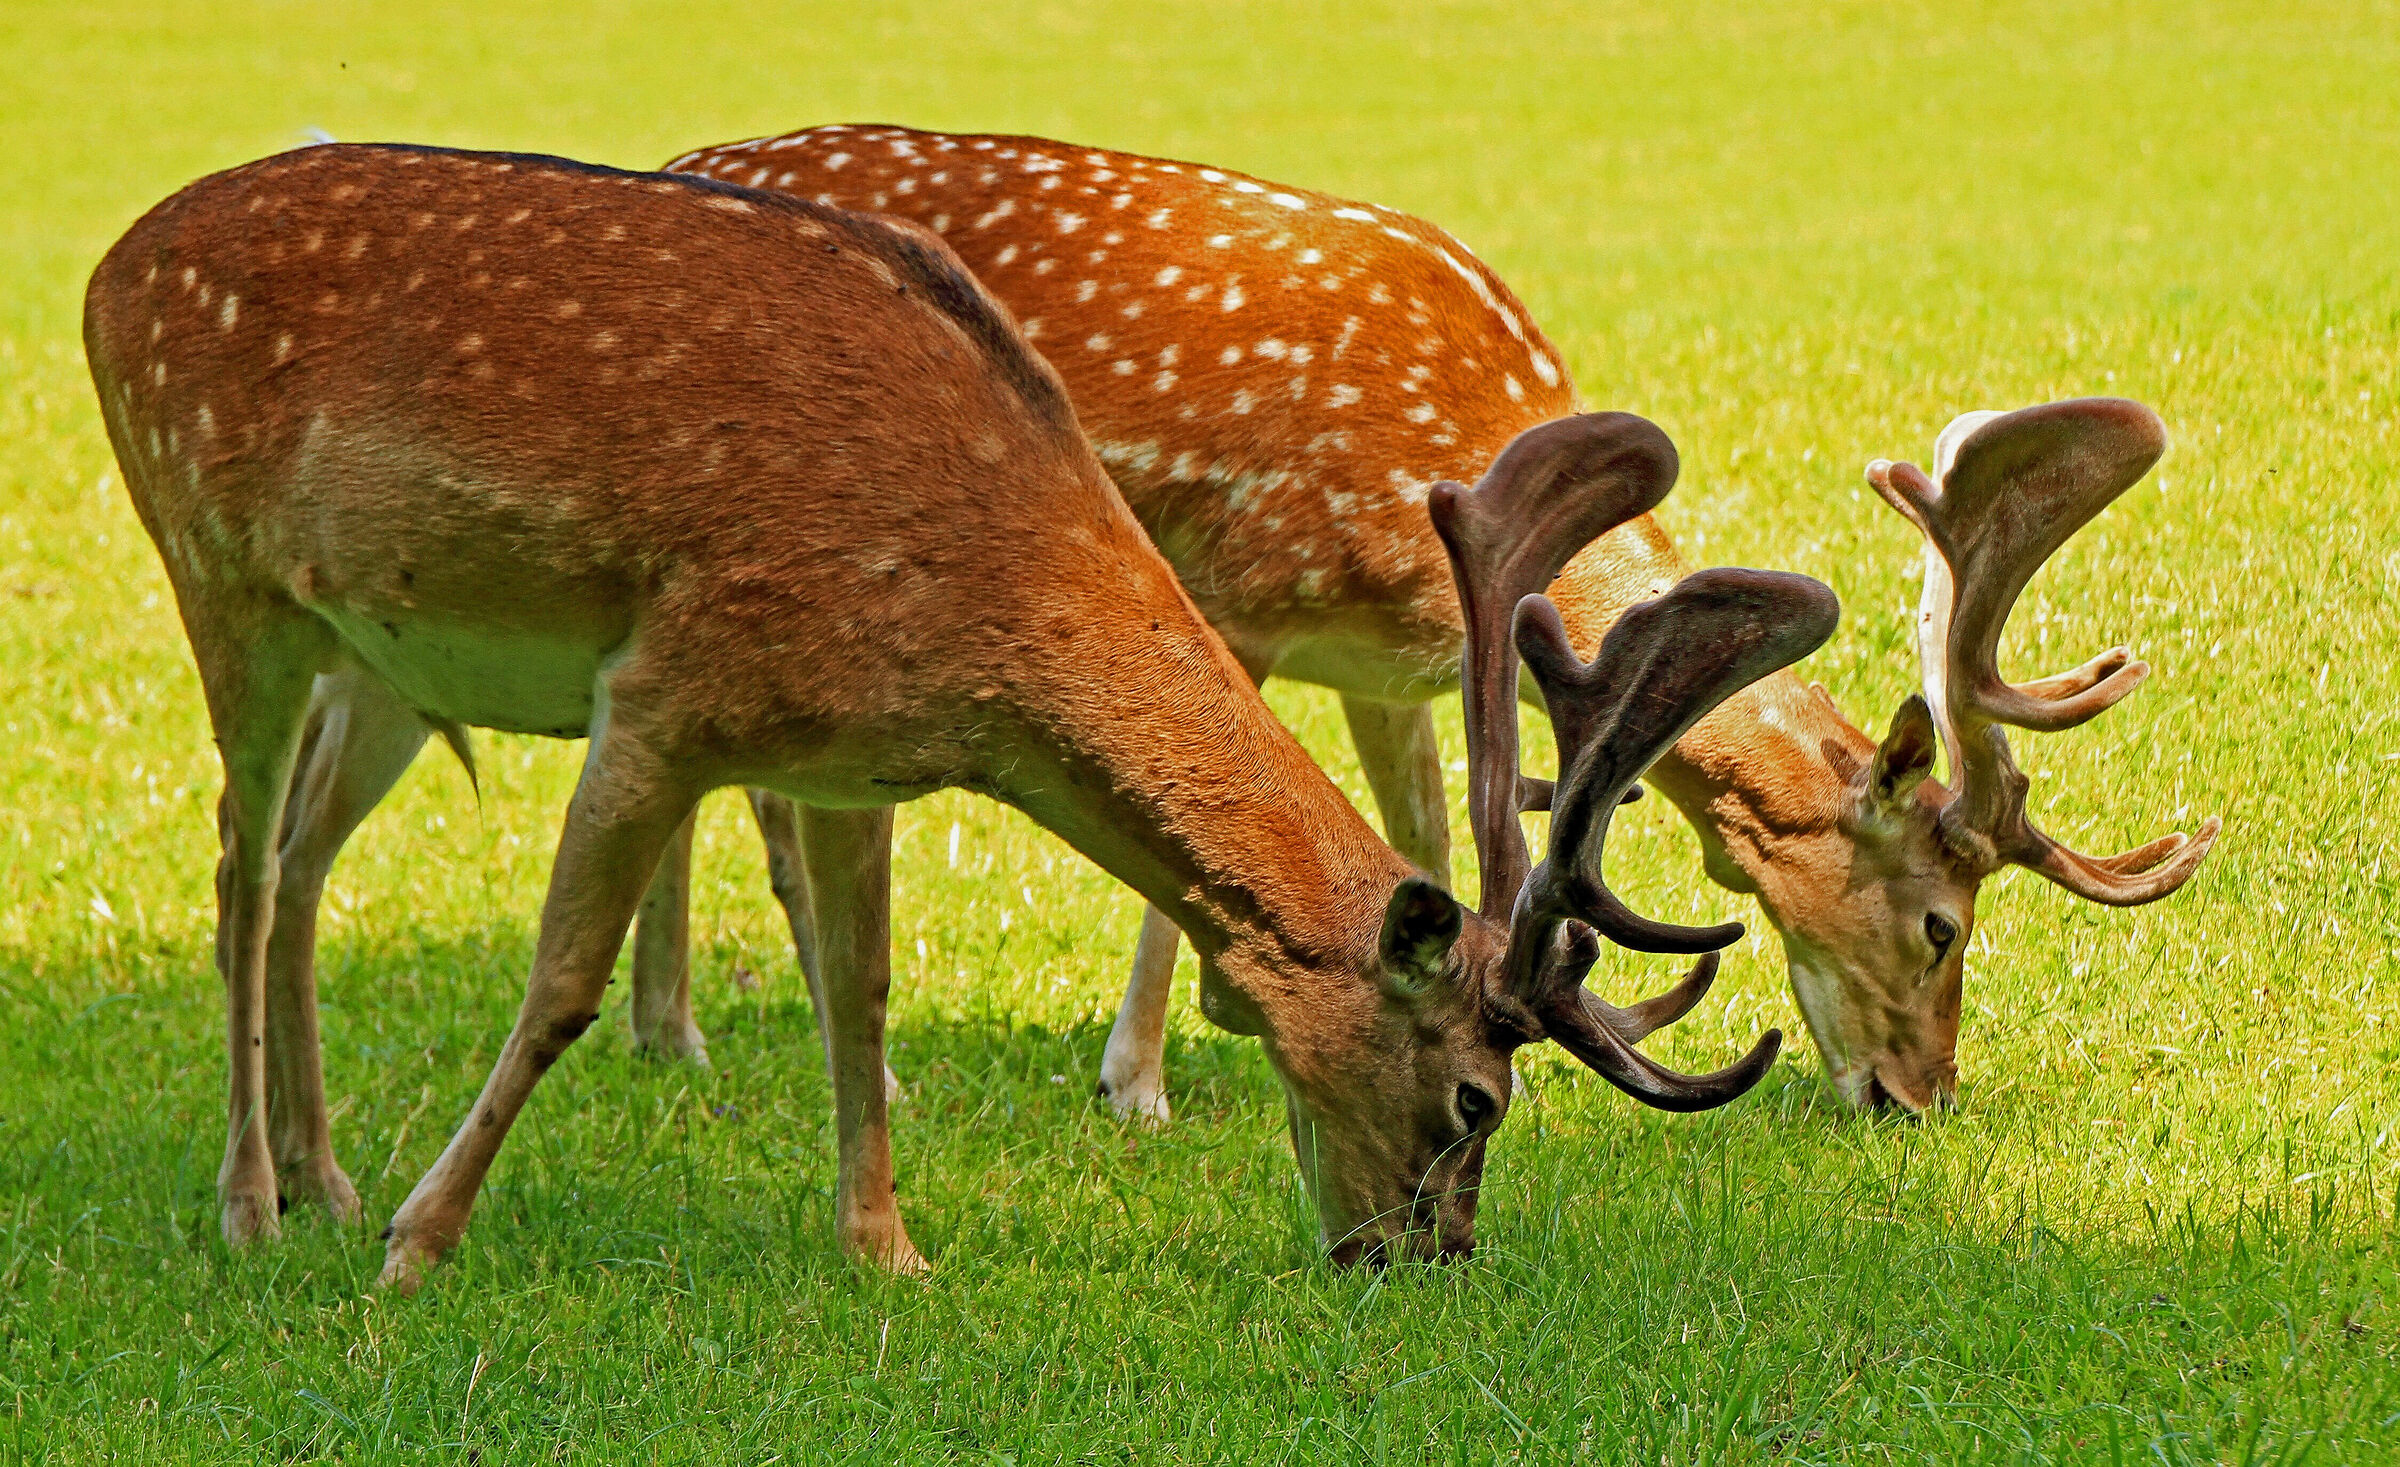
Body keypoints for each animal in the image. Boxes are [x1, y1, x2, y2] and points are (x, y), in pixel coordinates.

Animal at [84, 142, 1839, 1282]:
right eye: (1477, 1094)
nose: (1425, 1253)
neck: (984, 604)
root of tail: (112, 258)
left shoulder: (844, 760)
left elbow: (863, 991)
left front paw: (886, 1248)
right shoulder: (669, 683)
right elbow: (562, 980)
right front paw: (422, 1241)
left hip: (369, 657)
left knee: (296, 865)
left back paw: (321, 1172)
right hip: (219, 573)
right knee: (239, 872)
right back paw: (258, 1203)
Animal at [644, 126, 2219, 1118]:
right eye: (1944, 923)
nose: (1916, 1096)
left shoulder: (1389, 660)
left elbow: (1429, 838)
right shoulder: (1243, 584)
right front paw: (1133, 1083)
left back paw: (685, 1029)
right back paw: (760, 1040)